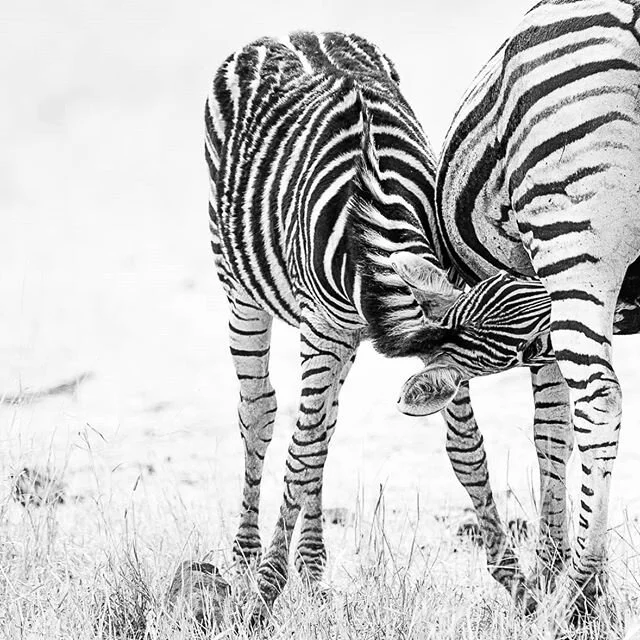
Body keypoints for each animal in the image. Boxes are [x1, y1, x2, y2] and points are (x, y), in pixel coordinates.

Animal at [204, 31, 556, 617]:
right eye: (524, 344)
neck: (375, 222)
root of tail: (291, 32)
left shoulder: (414, 337)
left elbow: (466, 450)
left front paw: (517, 583)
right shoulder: (325, 328)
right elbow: (299, 453)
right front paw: (267, 586)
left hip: (340, 334)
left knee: (323, 423)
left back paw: (312, 565)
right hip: (243, 291)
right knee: (259, 412)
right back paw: (245, 557)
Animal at [405, 0, 640, 612]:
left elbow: (526, 434)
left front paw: (551, 576)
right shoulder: (544, 331)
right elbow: (553, 432)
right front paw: (558, 566)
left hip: (572, 241)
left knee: (599, 404)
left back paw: (578, 600)